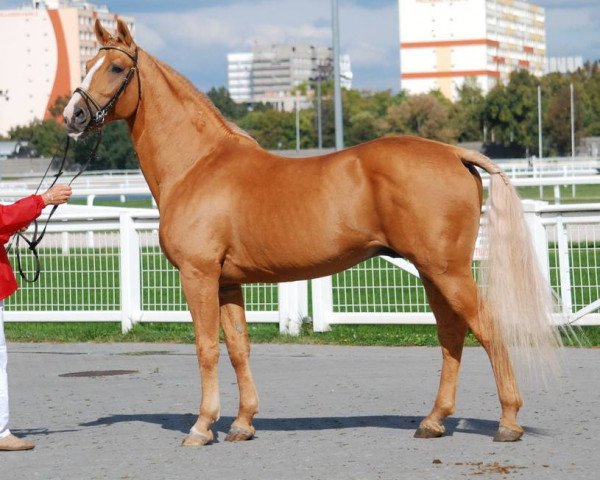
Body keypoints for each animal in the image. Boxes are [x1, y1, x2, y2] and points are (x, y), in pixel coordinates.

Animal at [62, 18, 564, 446]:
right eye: (87, 65)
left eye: (116, 67)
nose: (73, 116)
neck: (198, 165)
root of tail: (452, 152)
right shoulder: (227, 283)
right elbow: (239, 347)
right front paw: (242, 423)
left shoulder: (198, 276)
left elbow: (206, 348)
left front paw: (202, 427)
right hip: (432, 272)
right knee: (451, 335)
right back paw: (434, 420)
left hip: (447, 271)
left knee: (488, 328)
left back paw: (508, 422)